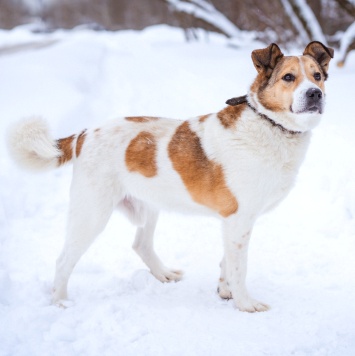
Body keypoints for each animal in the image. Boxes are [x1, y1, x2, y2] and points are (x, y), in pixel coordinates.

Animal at [6, 41, 334, 312]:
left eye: (317, 75)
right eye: (288, 77)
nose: (315, 94)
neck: (269, 124)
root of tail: (84, 134)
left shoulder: (233, 224)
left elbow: (227, 262)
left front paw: (225, 291)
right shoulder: (239, 219)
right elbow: (239, 268)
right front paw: (244, 303)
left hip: (148, 207)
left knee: (141, 245)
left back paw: (163, 274)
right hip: (91, 215)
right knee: (64, 260)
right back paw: (60, 301)